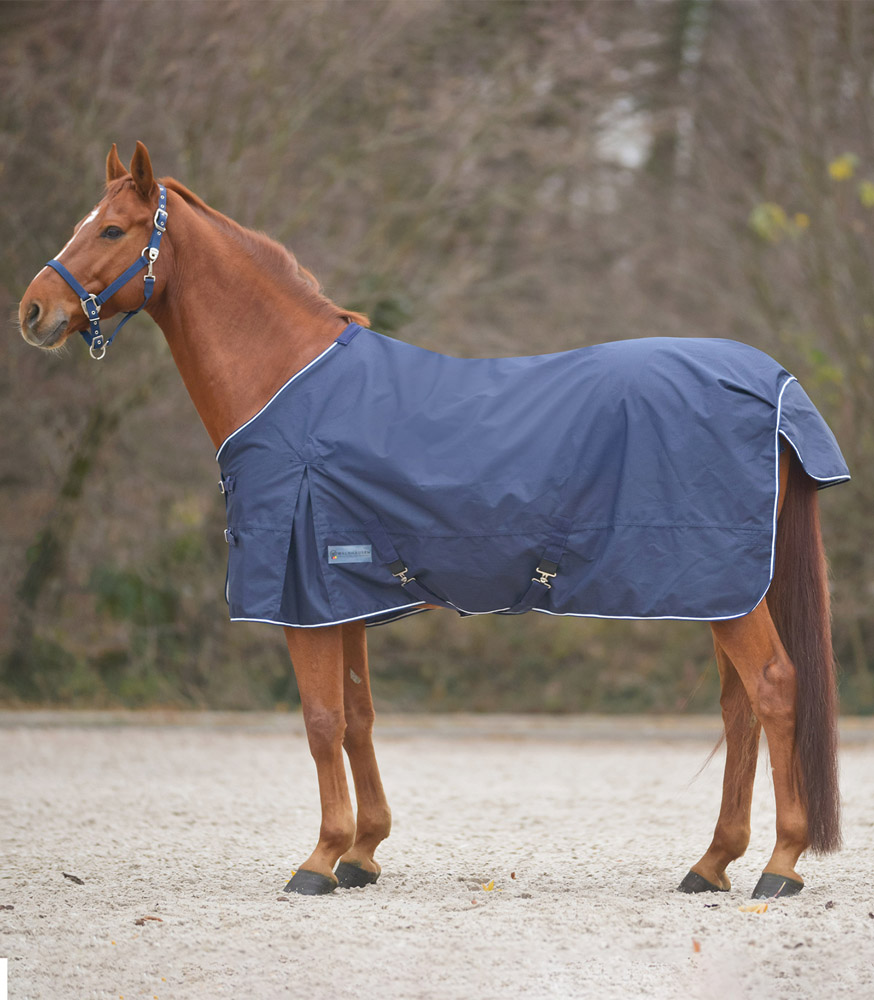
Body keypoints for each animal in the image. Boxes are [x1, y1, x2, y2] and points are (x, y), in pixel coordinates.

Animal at [18, 141, 847, 899]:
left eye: (112, 229)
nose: (33, 311)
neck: (289, 386)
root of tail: (774, 385)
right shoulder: (341, 596)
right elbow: (358, 716)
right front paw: (362, 852)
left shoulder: (303, 597)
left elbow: (321, 720)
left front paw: (319, 859)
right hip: (726, 591)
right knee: (739, 710)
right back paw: (711, 865)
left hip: (724, 588)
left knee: (774, 689)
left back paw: (779, 866)